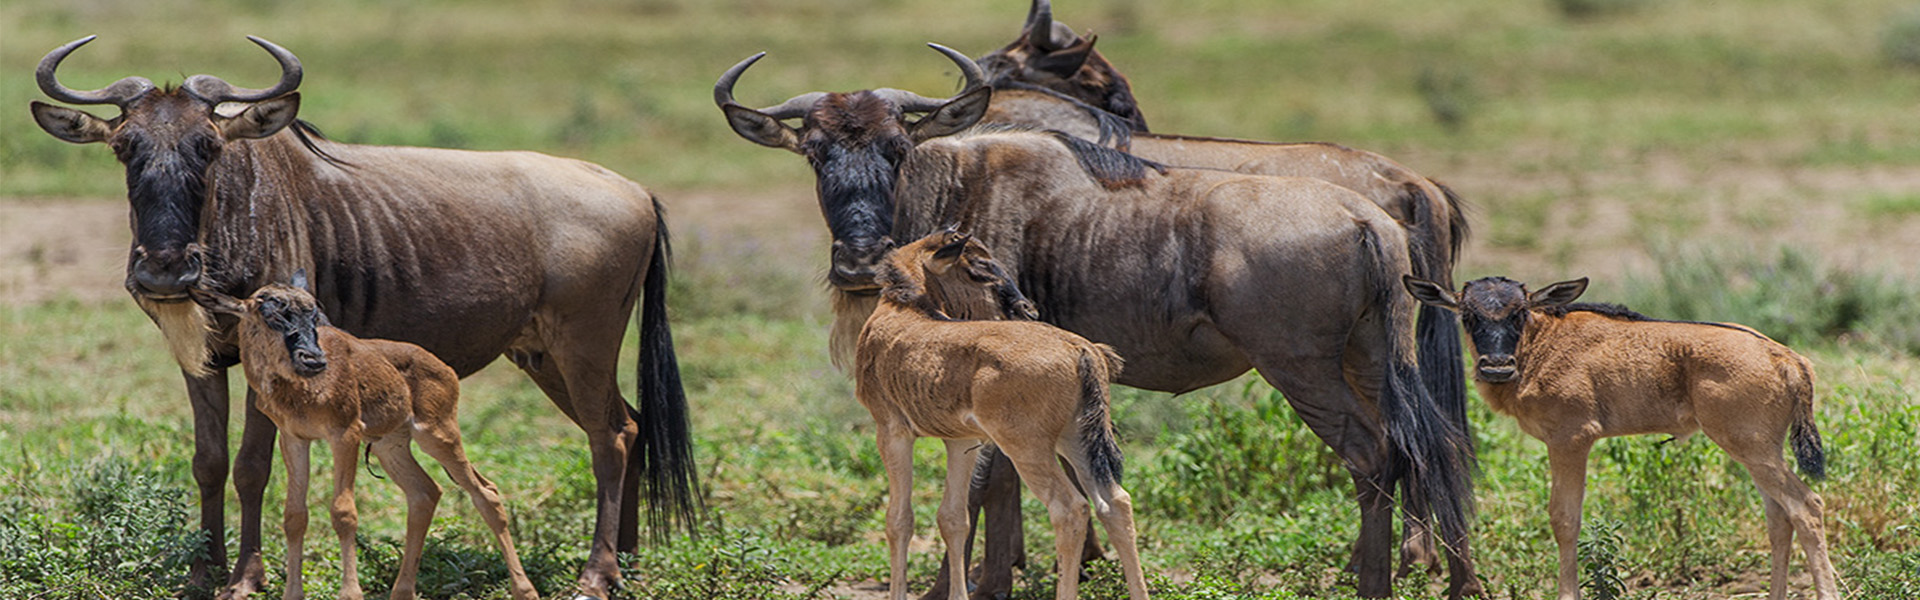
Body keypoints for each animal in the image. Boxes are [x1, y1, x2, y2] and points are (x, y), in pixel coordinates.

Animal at [192, 271, 537, 600]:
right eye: (271, 314)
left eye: (314, 315)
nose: (313, 360)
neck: (303, 390)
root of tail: (443, 368)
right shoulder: (294, 438)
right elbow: (294, 515)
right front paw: (293, 594)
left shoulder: (345, 434)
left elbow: (343, 512)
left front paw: (350, 593)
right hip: (391, 446)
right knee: (425, 493)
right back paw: (402, 592)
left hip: (438, 435)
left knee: (486, 493)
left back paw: (525, 590)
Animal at [860, 229, 1152, 600]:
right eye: (978, 269)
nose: (1027, 309)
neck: (904, 309)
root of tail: (1081, 349)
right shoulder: (962, 441)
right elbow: (954, 518)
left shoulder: (892, 431)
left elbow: (899, 519)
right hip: (1076, 440)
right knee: (1114, 503)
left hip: (1027, 448)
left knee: (1070, 508)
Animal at [1405, 275, 1835, 600]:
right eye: (1468, 314)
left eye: (1520, 312)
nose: (1496, 367)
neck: (1539, 344)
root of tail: (1787, 357)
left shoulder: (1571, 439)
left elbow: (1564, 519)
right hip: (1758, 451)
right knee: (1779, 517)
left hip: (1750, 447)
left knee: (1807, 506)